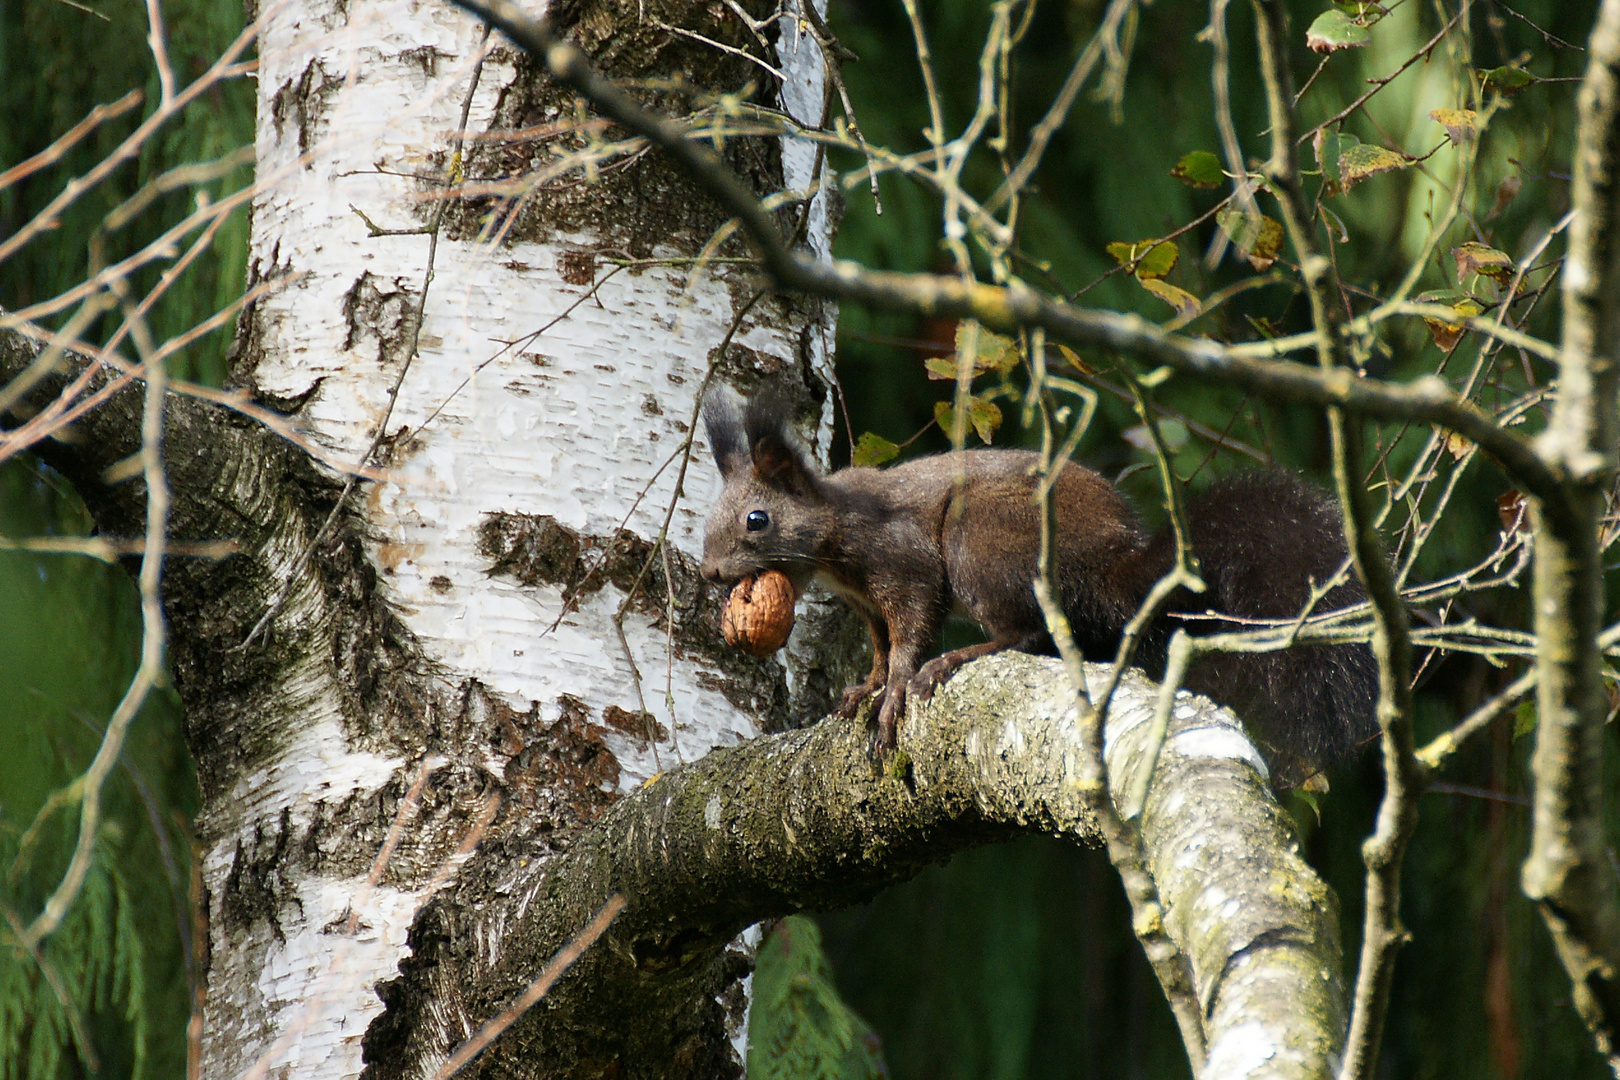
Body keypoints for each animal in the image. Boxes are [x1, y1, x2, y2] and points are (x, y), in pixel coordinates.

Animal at [699, 388, 1380, 786]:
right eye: (709, 519)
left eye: (758, 520)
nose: (709, 573)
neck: (835, 530)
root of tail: (1112, 565)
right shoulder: (864, 603)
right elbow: (880, 645)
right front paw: (864, 686)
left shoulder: (903, 562)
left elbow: (912, 632)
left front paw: (891, 694)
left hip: (983, 538)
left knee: (1026, 633)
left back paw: (962, 655)